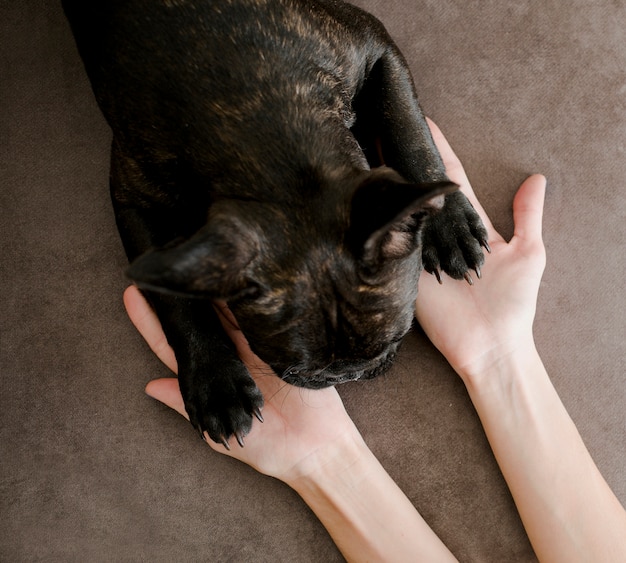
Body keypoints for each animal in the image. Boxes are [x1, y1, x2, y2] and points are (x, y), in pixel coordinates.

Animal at [62, 0, 488, 450]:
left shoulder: (376, 49)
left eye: (392, 341)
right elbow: (176, 301)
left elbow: (409, 130)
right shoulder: (136, 198)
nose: (348, 375)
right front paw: (215, 383)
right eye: (291, 366)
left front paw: (449, 224)